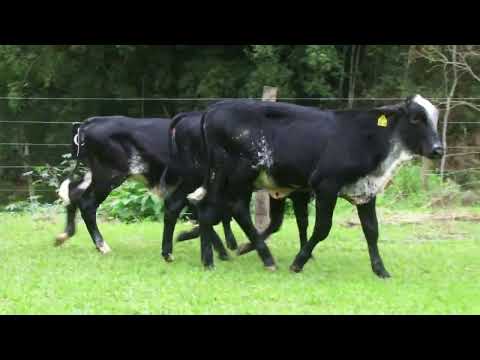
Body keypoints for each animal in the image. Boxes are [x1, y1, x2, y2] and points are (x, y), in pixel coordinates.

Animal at [182, 94, 444, 278]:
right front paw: (299, 262)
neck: (367, 139)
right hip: (233, 175)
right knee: (224, 210)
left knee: (214, 210)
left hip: (230, 179)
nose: (438, 149)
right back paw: (246, 258)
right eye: (416, 118)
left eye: (436, 119)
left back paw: (217, 257)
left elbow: (372, 230)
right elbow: (322, 228)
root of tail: (214, 109)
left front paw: (380, 270)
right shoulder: (326, 186)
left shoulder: (365, 191)